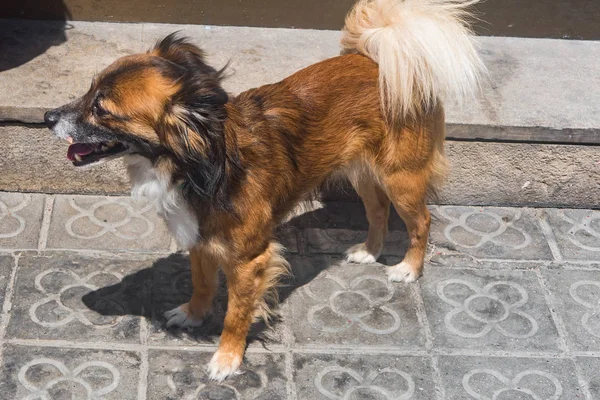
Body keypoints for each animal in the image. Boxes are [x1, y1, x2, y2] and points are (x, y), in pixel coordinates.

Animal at [45, 0, 488, 382]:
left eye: (102, 109)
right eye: (88, 91)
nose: (48, 116)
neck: (200, 161)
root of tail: (379, 60)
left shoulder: (250, 260)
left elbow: (235, 314)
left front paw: (227, 358)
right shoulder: (201, 239)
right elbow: (202, 283)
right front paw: (193, 314)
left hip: (401, 177)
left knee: (421, 221)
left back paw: (408, 268)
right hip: (361, 171)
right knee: (377, 210)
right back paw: (369, 251)